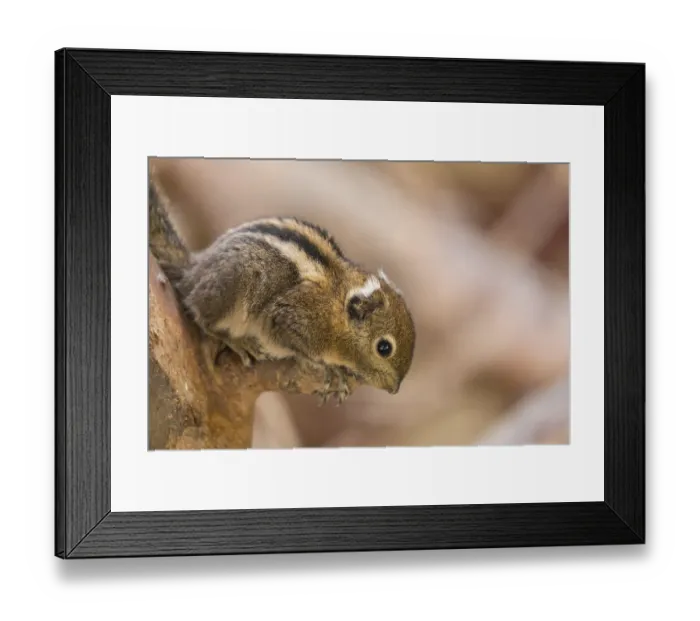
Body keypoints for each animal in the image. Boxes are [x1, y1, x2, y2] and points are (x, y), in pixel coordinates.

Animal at [148, 175, 416, 404]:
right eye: (384, 348)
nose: (394, 389)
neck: (335, 306)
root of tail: (193, 272)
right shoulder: (288, 317)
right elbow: (300, 350)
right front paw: (329, 368)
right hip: (236, 282)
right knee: (202, 316)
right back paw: (235, 340)